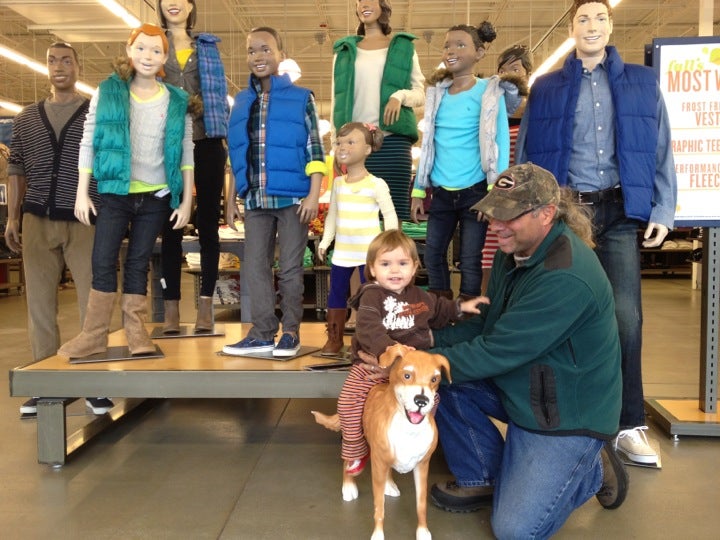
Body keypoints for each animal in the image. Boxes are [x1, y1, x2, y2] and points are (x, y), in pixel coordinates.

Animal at [314, 344, 450, 540]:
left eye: (434, 379)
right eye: (407, 375)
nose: (421, 401)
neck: (409, 429)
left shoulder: (422, 466)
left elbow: (421, 505)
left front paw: (423, 532)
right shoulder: (377, 468)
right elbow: (379, 508)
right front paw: (378, 535)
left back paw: (389, 485)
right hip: (353, 434)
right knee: (348, 457)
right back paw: (348, 486)